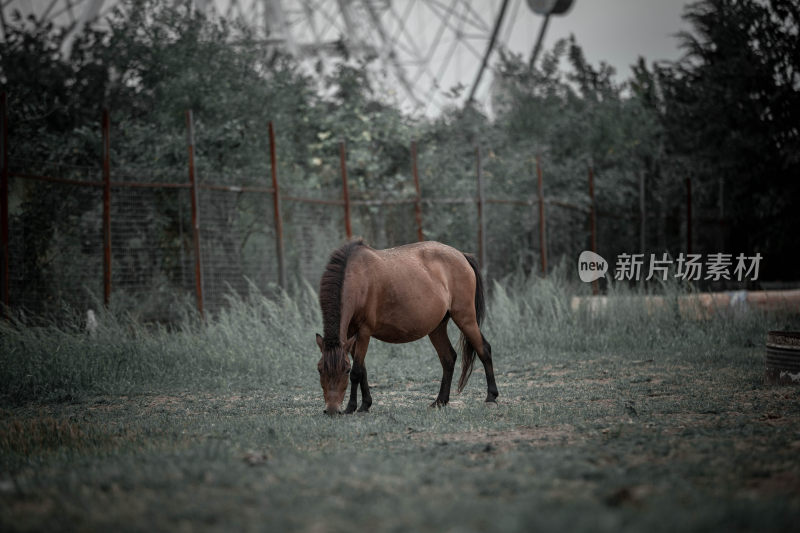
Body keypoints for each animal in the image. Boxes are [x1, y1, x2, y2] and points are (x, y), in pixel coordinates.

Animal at [316, 239, 496, 414]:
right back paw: (440, 401)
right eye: (319, 369)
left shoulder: (364, 332)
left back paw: (491, 396)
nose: (331, 410)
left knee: (484, 349)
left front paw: (351, 407)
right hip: (437, 328)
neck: (358, 277)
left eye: (345, 370)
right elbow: (363, 371)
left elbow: (357, 372)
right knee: (448, 358)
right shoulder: (351, 334)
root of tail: (462, 255)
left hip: (465, 318)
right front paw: (365, 404)